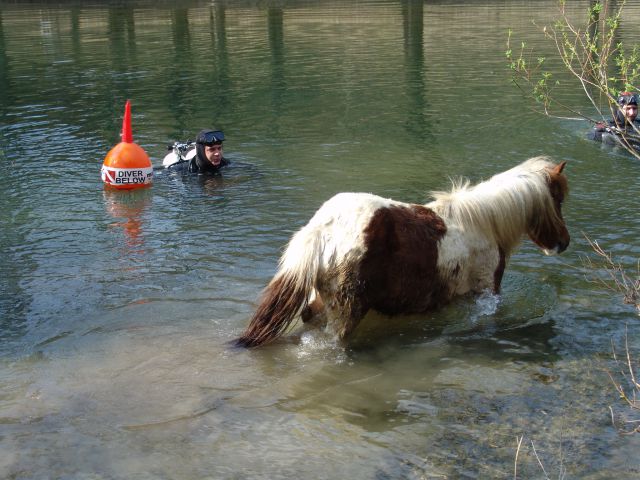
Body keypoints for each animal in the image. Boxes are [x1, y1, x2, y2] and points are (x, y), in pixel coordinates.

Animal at [236, 158, 568, 348]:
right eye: (559, 199)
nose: (563, 243)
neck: (483, 223)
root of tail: (321, 229)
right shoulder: (486, 292)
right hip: (345, 314)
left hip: (319, 302)